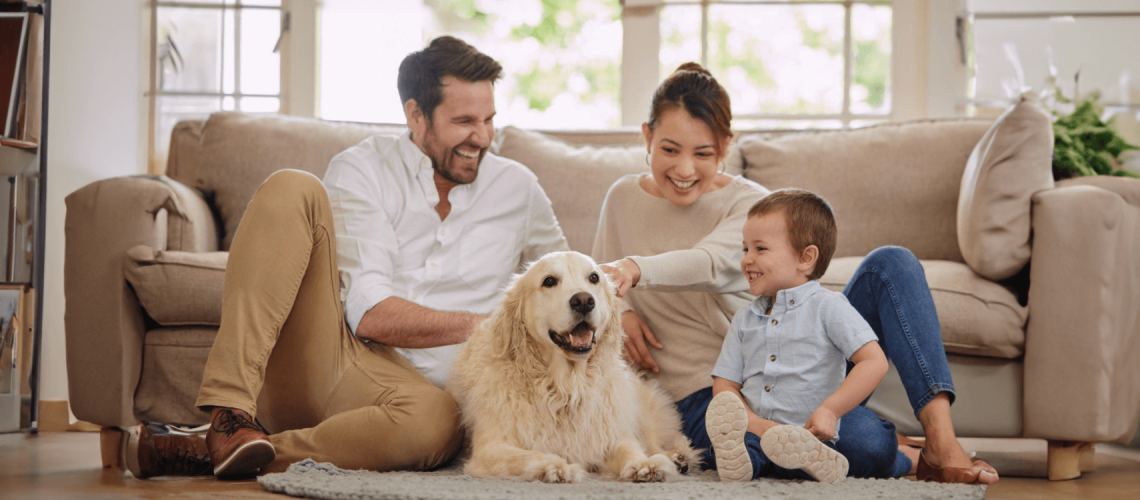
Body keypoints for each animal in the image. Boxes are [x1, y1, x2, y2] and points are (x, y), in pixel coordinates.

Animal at [446, 252, 697, 482]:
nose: (584, 301)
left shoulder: (608, 434)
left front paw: (643, 464)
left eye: (594, 278)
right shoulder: (490, 447)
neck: (565, 387)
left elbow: (628, 447)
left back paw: (676, 457)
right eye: (549, 281)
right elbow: (528, 456)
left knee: (654, 442)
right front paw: (555, 466)